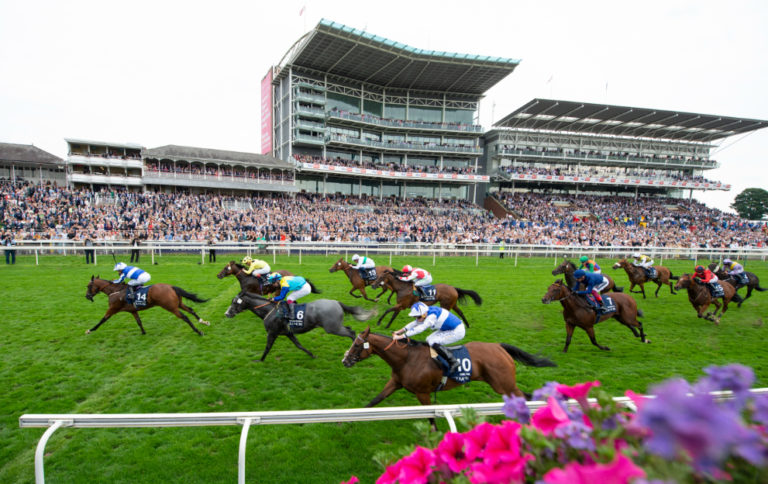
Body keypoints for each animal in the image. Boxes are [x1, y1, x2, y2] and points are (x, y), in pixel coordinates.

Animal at [224, 292, 376, 360]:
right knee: (351, 330)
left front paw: (260, 360)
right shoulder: (288, 333)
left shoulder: (272, 332)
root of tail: (336, 302)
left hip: (332, 328)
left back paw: (355, 350)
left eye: (235, 303)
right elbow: (299, 345)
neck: (269, 311)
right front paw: (312, 355)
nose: (227, 313)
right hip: (335, 326)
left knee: (352, 333)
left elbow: (267, 347)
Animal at [344, 328, 556, 410]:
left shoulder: (423, 393)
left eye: (357, 345)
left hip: (503, 384)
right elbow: (374, 401)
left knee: (523, 397)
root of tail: (498, 346)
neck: (407, 359)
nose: (345, 360)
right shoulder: (395, 383)